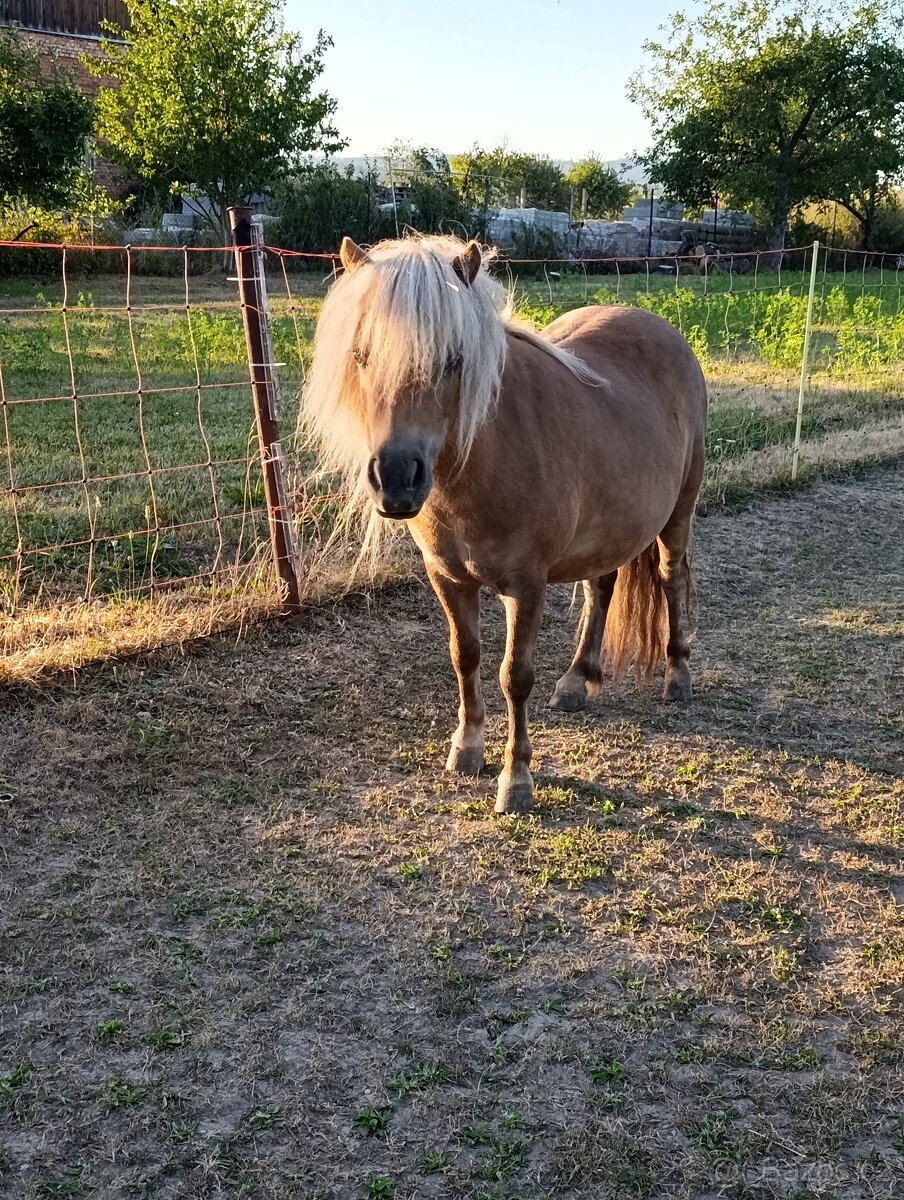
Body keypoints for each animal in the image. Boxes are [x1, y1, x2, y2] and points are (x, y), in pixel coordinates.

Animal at [302, 234, 707, 814]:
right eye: (361, 355)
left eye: (454, 359)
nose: (396, 479)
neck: (484, 462)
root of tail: (662, 329)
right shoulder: (448, 578)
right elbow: (464, 657)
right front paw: (467, 748)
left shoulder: (526, 585)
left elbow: (514, 676)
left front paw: (515, 779)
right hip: (609, 529)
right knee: (601, 589)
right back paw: (576, 680)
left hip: (678, 513)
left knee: (671, 580)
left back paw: (677, 676)